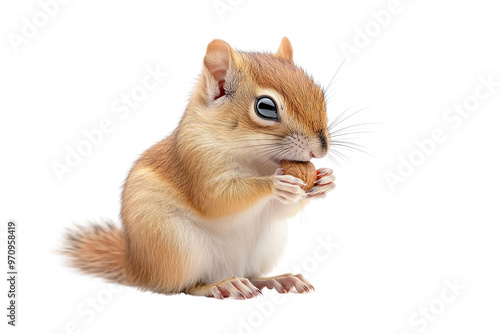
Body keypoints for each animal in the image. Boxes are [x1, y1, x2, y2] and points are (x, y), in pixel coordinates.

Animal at [63, 37, 336, 298]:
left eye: (318, 93)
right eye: (266, 107)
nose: (320, 150)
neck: (257, 162)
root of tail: (140, 267)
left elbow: (282, 210)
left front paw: (325, 181)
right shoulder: (196, 161)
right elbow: (218, 198)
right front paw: (277, 183)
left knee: (251, 275)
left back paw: (279, 279)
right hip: (177, 246)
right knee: (186, 285)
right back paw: (223, 286)